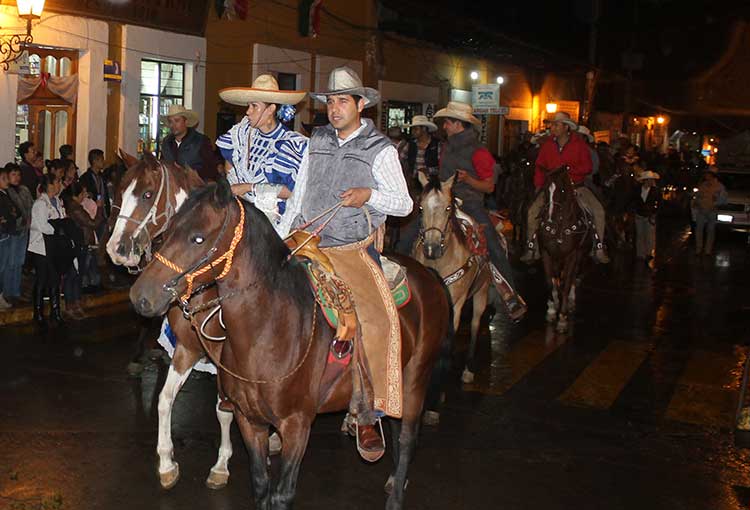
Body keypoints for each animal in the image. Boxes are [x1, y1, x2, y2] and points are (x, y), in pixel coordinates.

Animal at [128, 181, 452, 510]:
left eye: (198, 238)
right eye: (169, 230)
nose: (140, 296)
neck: (269, 333)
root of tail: (429, 274)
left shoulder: (296, 426)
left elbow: (282, 494)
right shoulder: (250, 420)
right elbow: (260, 483)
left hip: (415, 378)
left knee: (407, 438)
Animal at [418, 173, 494, 384]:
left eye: (448, 208)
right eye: (421, 207)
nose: (431, 248)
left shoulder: (456, 302)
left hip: (482, 292)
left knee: (475, 324)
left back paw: (468, 368)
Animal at [540, 167, 592, 334]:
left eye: (562, 190)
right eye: (545, 190)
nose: (549, 220)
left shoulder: (572, 255)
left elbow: (567, 283)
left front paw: (562, 318)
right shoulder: (546, 253)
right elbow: (549, 281)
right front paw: (551, 310)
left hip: (580, 255)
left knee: (573, 275)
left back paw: (569, 300)